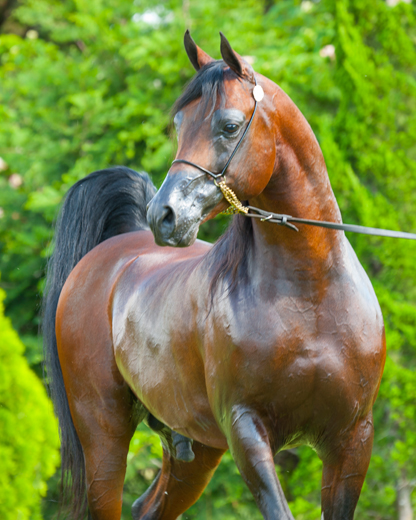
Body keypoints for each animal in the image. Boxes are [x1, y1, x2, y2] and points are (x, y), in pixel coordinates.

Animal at [44, 32, 386, 520]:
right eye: (179, 123)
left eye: (228, 126)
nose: (165, 215)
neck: (310, 297)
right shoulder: (246, 428)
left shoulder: (352, 438)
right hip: (103, 437)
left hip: (194, 449)